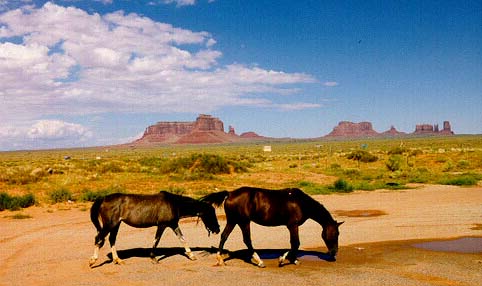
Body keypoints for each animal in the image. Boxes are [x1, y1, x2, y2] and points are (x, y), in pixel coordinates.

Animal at [88, 191, 220, 268]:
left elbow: (182, 239)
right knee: (99, 238)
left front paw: (191, 255)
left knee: (112, 239)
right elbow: (157, 240)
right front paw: (153, 258)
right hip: (110, 224)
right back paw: (93, 261)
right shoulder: (162, 225)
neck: (173, 204)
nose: (217, 229)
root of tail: (103, 198)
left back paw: (118, 260)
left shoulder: (173, 224)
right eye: (211, 213)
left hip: (116, 224)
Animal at [201, 187, 342, 268]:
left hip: (234, 221)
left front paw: (293, 260)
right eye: (336, 234)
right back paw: (259, 261)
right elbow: (295, 243)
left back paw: (220, 259)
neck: (300, 202)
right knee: (247, 240)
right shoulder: (292, 225)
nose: (334, 252)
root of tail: (230, 194)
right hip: (243, 222)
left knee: (224, 236)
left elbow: (294, 244)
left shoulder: (292, 226)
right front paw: (283, 260)